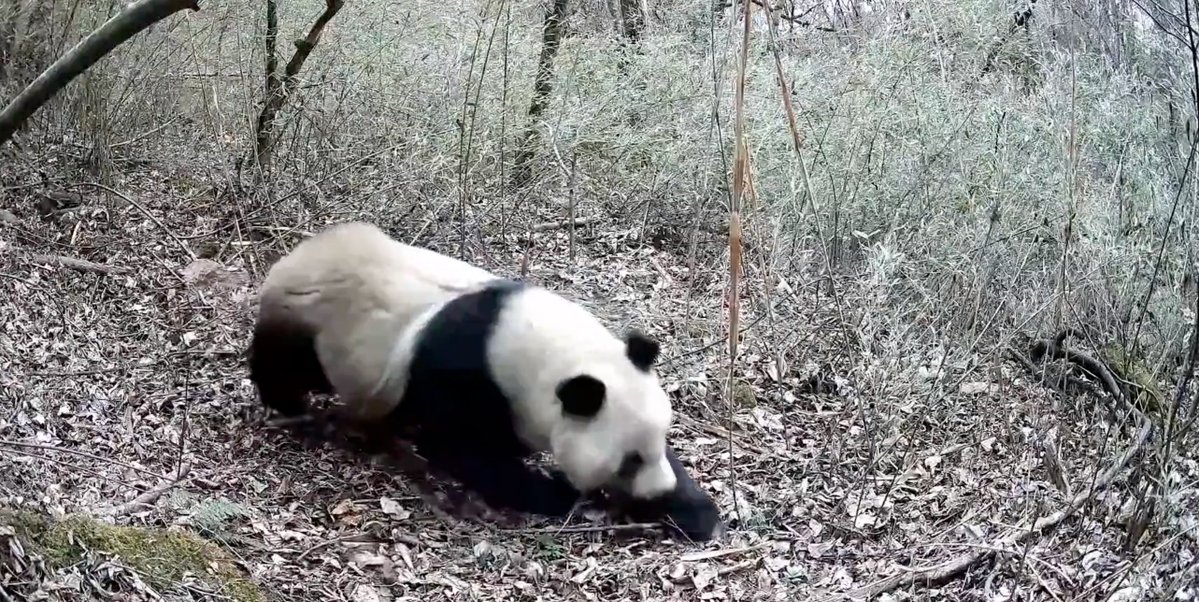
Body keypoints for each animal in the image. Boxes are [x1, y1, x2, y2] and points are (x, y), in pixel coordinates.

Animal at [247, 223, 722, 541]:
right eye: (629, 461)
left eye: (660, 440)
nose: (658, 490)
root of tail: (298, 254)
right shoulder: (464, 371)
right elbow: (458, 445)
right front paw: (556, 490)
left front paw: (690, 508)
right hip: (313, 325)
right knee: (284, 364)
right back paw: (291, 406)